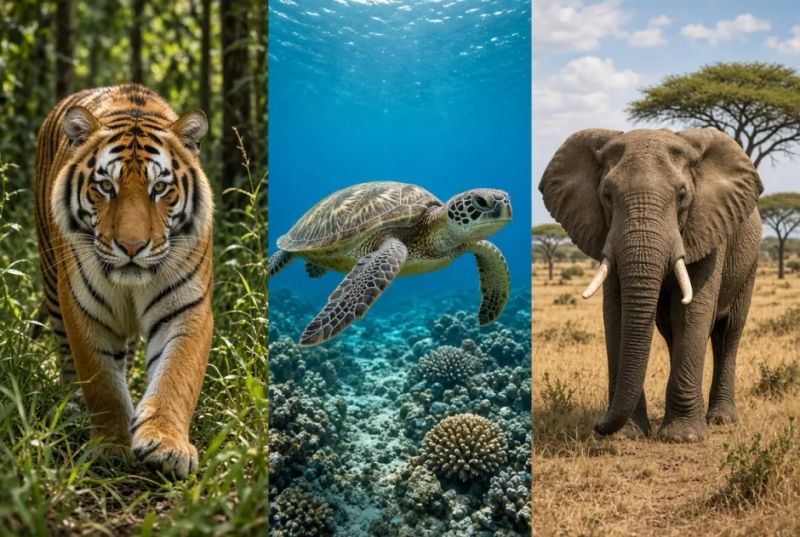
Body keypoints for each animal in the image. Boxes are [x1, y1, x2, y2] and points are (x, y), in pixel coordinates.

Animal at [33, 84, 213, 478]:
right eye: (105, 186)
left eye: (160, 188)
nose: (132, 246)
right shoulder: (84, 308)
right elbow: (101, 382)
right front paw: (112, 447)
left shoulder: (186, 307)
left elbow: (176, 375)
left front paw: (166, 444)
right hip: (53, 284)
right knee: (67, 356)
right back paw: (72, 402)